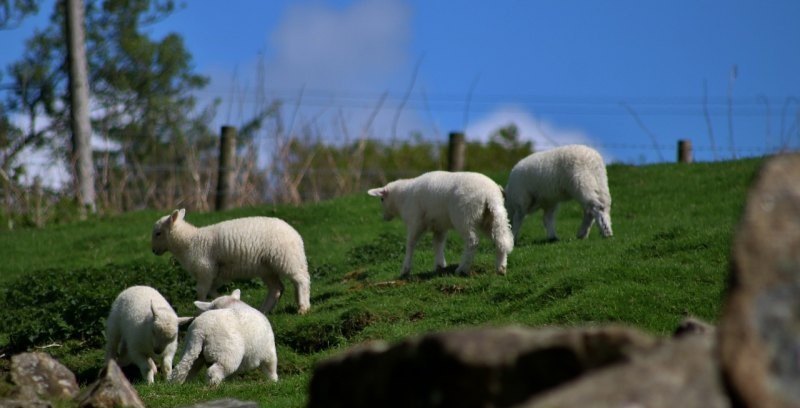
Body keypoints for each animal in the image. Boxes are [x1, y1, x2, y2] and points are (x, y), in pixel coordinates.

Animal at [152, 209, 310, 314]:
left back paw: (303, 307)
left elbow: (201, 292)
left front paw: (199, 313)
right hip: (267, 267)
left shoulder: (205, 270)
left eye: (158, 233)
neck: (189, 241)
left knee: (301, 280)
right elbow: (212, 291)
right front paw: (221, 300)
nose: (154, 251)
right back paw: (263, 310)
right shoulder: (217, 274)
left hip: (286, 258)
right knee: (276, 289)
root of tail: (296, 236)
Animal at [368, 169, 512, 278]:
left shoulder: (415, 222)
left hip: (465, 216)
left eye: (381, 199)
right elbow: (438, 244)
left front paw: (405, 269)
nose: (384, 217)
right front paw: (440, 265)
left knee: (472, 242)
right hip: (491, 217)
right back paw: (501, 267)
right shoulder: (439, 225)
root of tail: (490, 194)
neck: (402, 198)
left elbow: (411, 244)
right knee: (501, 239)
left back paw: (462, 269)